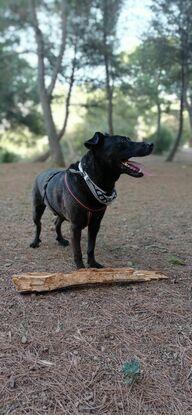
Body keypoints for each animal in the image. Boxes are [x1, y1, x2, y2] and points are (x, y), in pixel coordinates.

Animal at [30, 132, 153, 270]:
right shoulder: (75, 226)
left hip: (61, 212)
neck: (90, 182)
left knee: (57, 223)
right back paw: (35, 242)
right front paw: (81, 268)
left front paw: (93, 263)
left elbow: (91, 247)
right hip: (37, 209)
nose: (151, 144)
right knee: (38, 225)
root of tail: (42, 173)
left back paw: (61, 240)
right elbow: (78, 251)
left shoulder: (95, 224)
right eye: (122, 141)